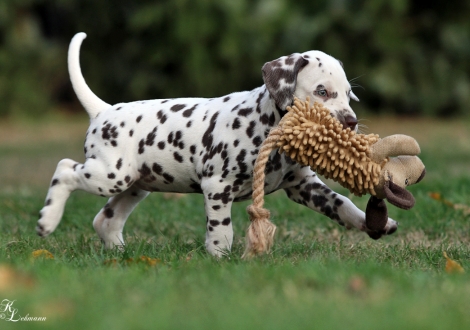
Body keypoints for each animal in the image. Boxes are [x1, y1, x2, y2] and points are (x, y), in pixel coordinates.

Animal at [36, 32, 396, 255]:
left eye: (348, 94)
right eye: (322, 91)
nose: (350, 122)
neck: (264, 124)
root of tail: (104, 109)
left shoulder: (304, 187)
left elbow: (341, 204)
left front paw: (374, 223)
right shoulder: (218, 186)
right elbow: (222, 229)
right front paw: (219, 257)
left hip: (136, 185)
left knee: (105, 219)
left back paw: (120, 255)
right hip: (111, 174)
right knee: (65, 170)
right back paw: (48, 220)